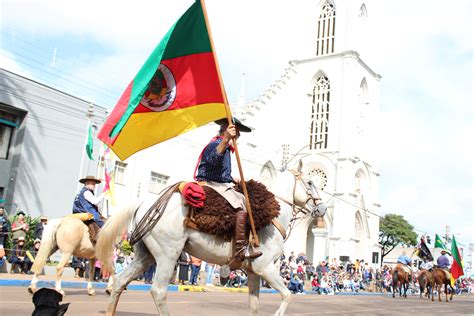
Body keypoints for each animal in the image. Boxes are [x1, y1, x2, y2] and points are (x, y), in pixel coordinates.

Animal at [96, 163, 326, 316]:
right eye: (310, 182)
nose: (322, 209)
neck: (272, 217)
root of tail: (146, 202)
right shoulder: (266, 268)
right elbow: (288, 295)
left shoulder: (253, 272)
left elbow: (254, 305)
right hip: (167, 255)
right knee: (158, 291)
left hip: (145, 255)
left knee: (120, 281)